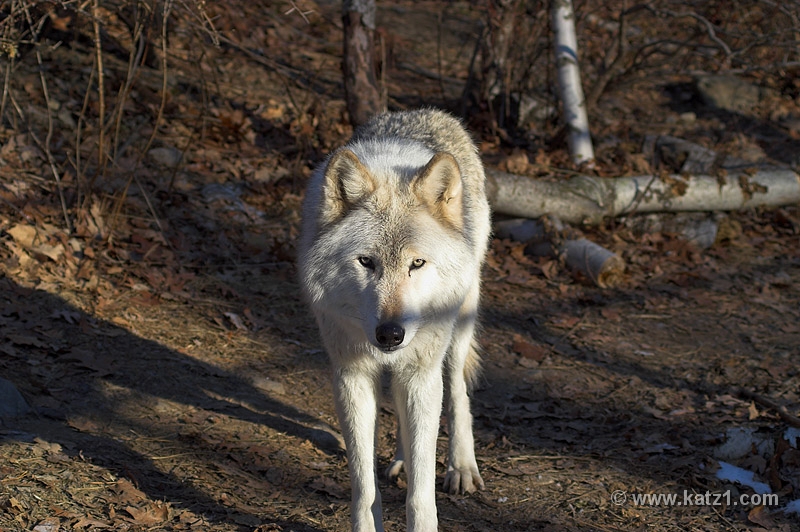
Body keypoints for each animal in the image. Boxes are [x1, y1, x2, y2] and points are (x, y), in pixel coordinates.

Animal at [298, 109, 491, 532]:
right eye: (366, 262)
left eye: (416, 263)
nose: (390, 334)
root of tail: (425, 111)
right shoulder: (352, 376)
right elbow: (364, 486)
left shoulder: (420, 371)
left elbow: (421, 493)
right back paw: (402, 460)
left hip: (456, 330)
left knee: (456, 391)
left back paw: (461, 466)